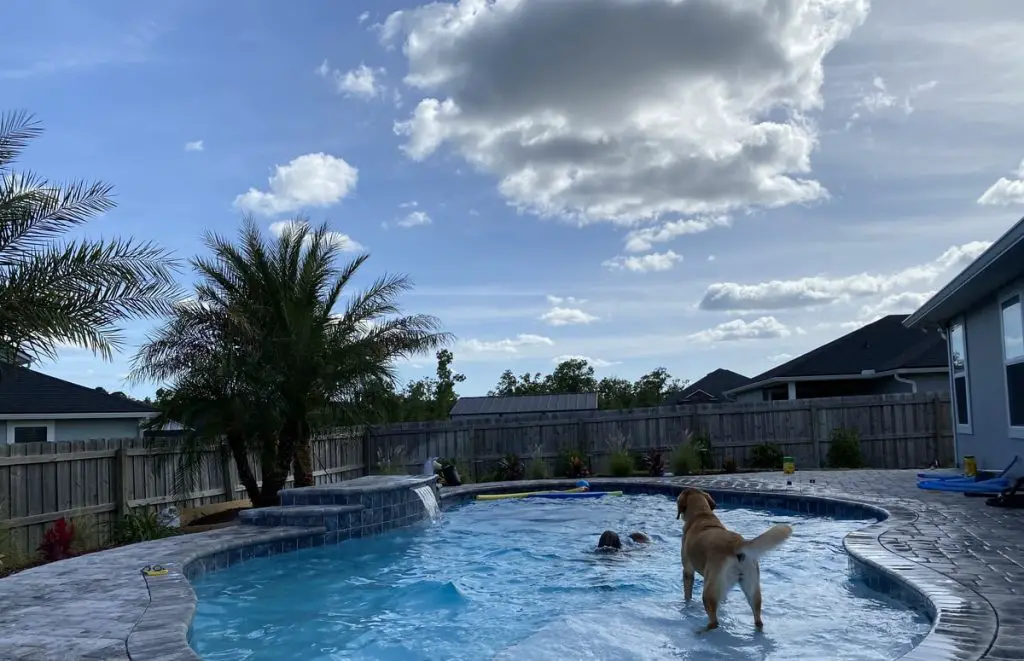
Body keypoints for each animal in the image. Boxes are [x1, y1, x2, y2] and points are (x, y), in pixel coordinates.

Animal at [679, 489, 790, 634]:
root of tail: (737, 543)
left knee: (714, 622)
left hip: (709, 589)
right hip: (751, 587)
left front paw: (687, 605)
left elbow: (687, 594)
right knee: (758, 619)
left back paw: (700, 631)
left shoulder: (687, 570)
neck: (702, 514)